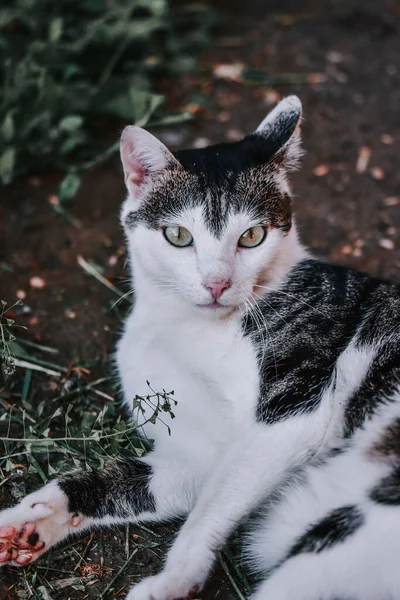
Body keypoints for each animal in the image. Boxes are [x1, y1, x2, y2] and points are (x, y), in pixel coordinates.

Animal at [0, 96, 400, 596]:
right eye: (178, 236)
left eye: (252, 236)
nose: (216, 283)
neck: (187, 326)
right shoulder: (199, 456)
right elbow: (126, 481)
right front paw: (27, 520)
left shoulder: (293, 416)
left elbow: (211, 507)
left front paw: (173, 579)